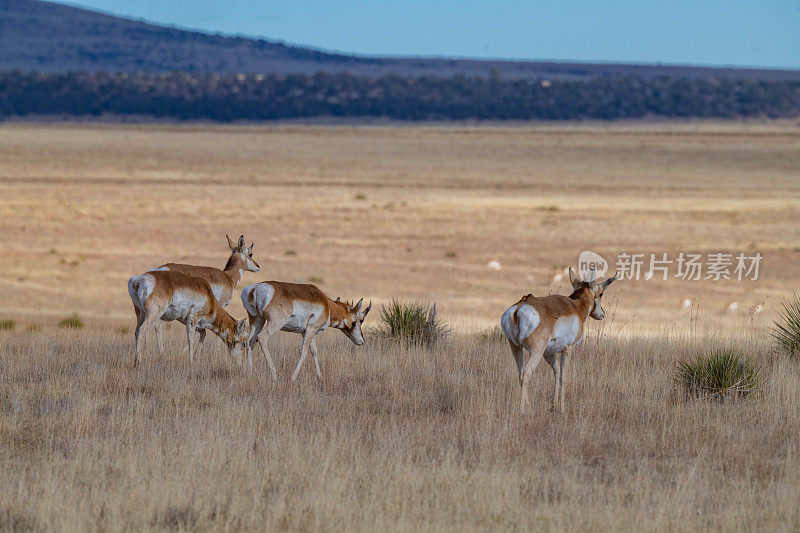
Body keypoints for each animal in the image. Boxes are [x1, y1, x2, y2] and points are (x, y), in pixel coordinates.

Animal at [241, 280, 372, 380]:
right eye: (360, 320)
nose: (362, 341)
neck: (327, 304)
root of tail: (256, 289)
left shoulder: (307, 332)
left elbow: (314, 351)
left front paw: (320, 377)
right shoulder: (311, 329)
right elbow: (304, 352)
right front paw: (293, 377)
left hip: (257, 320)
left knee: (250, 341)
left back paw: (249, 372)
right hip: (275, 323)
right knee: (262, 338)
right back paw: (274, 375)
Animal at [500, 268, 620, 414]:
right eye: (601, 294)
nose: (602, 314)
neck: (576, 307)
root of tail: (518, 308)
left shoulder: (549, 353)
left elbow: (556, 372)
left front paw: (554, 405)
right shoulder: (568, 349)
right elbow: (563, 376)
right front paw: (562, 408)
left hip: (516, 347)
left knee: (520, 373)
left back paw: (529, 405)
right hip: (536, 351)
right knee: (527, 372)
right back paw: (523, 409)